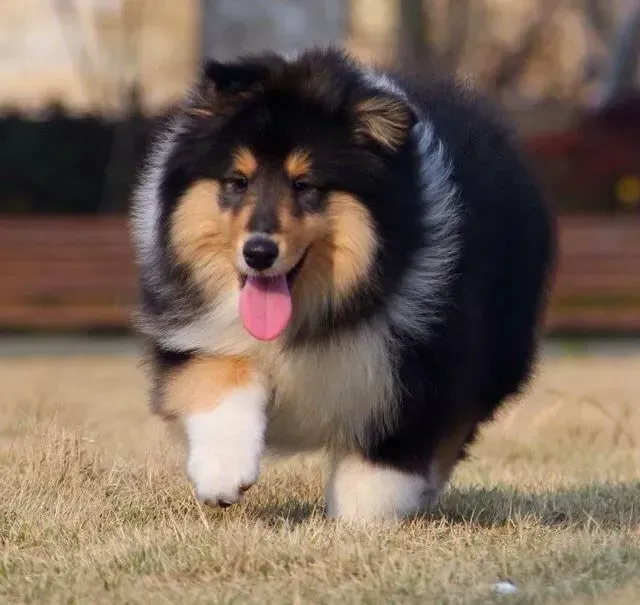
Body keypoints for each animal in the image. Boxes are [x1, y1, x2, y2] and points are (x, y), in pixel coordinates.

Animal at [131, 46, 556, 520]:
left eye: (304, 185)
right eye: (237, 182)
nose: (258, 252)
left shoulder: (417, 367)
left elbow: (382, 460)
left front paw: (358, 520)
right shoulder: (195, 332)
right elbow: (220, 380)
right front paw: (222, 474)